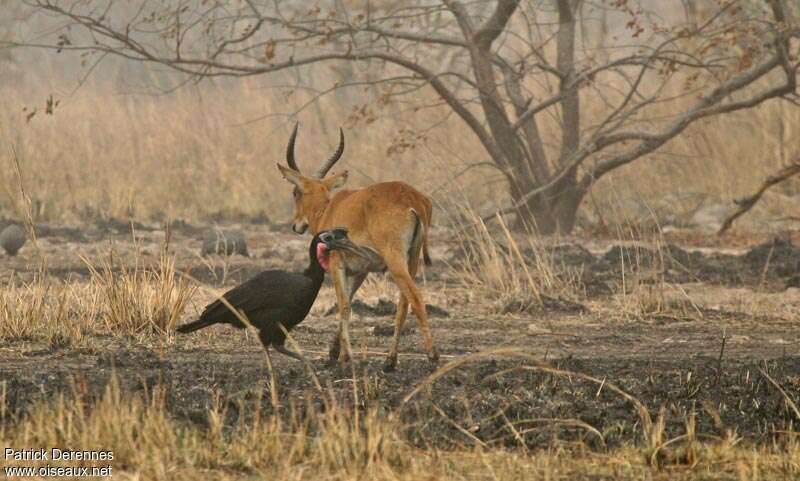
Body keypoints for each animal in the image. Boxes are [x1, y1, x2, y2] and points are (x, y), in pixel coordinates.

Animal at [276, 122, 438, 370]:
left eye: (295, 192)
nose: (296, 225)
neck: (329, 209)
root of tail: (414, 200)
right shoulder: (362, 271)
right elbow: (349, 301)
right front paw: (334, 352)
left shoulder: (336, 265)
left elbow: (344, 305)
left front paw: (345, 357)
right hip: (412, 258)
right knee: (403, 304)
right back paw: (389, 361)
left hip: (395, 260)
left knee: (416, 298)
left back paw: (432, 356)